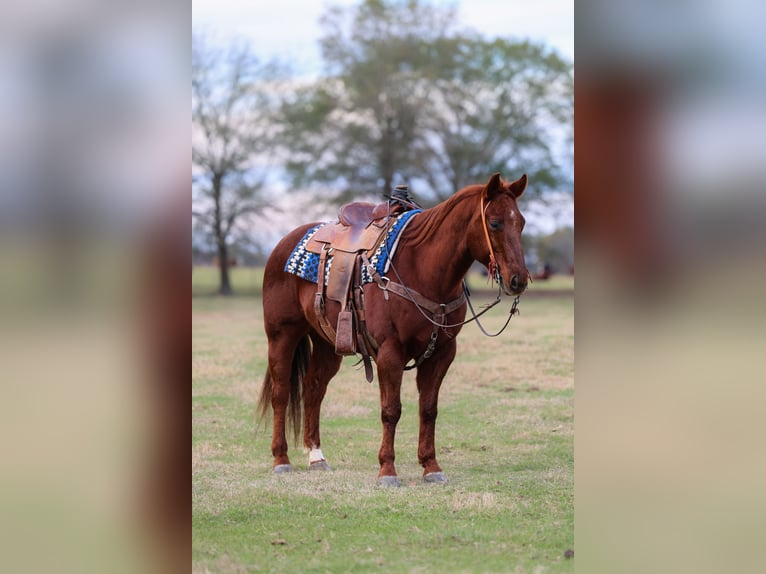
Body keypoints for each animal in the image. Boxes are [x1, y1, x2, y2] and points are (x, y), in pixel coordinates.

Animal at [256, 173, 529, 486]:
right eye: (495, 223)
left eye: (521, 222)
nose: (519, 279)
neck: (422, 268)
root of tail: (283, 243)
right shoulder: (390, 352)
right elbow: (391, 411)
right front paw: (387, 470)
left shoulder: (442, 353)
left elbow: (429, 409)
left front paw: (431, 466)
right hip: (281, 335)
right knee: (281, 393)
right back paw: (281, 459)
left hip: (328, 344)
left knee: (313, 390)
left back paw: (316, 457)